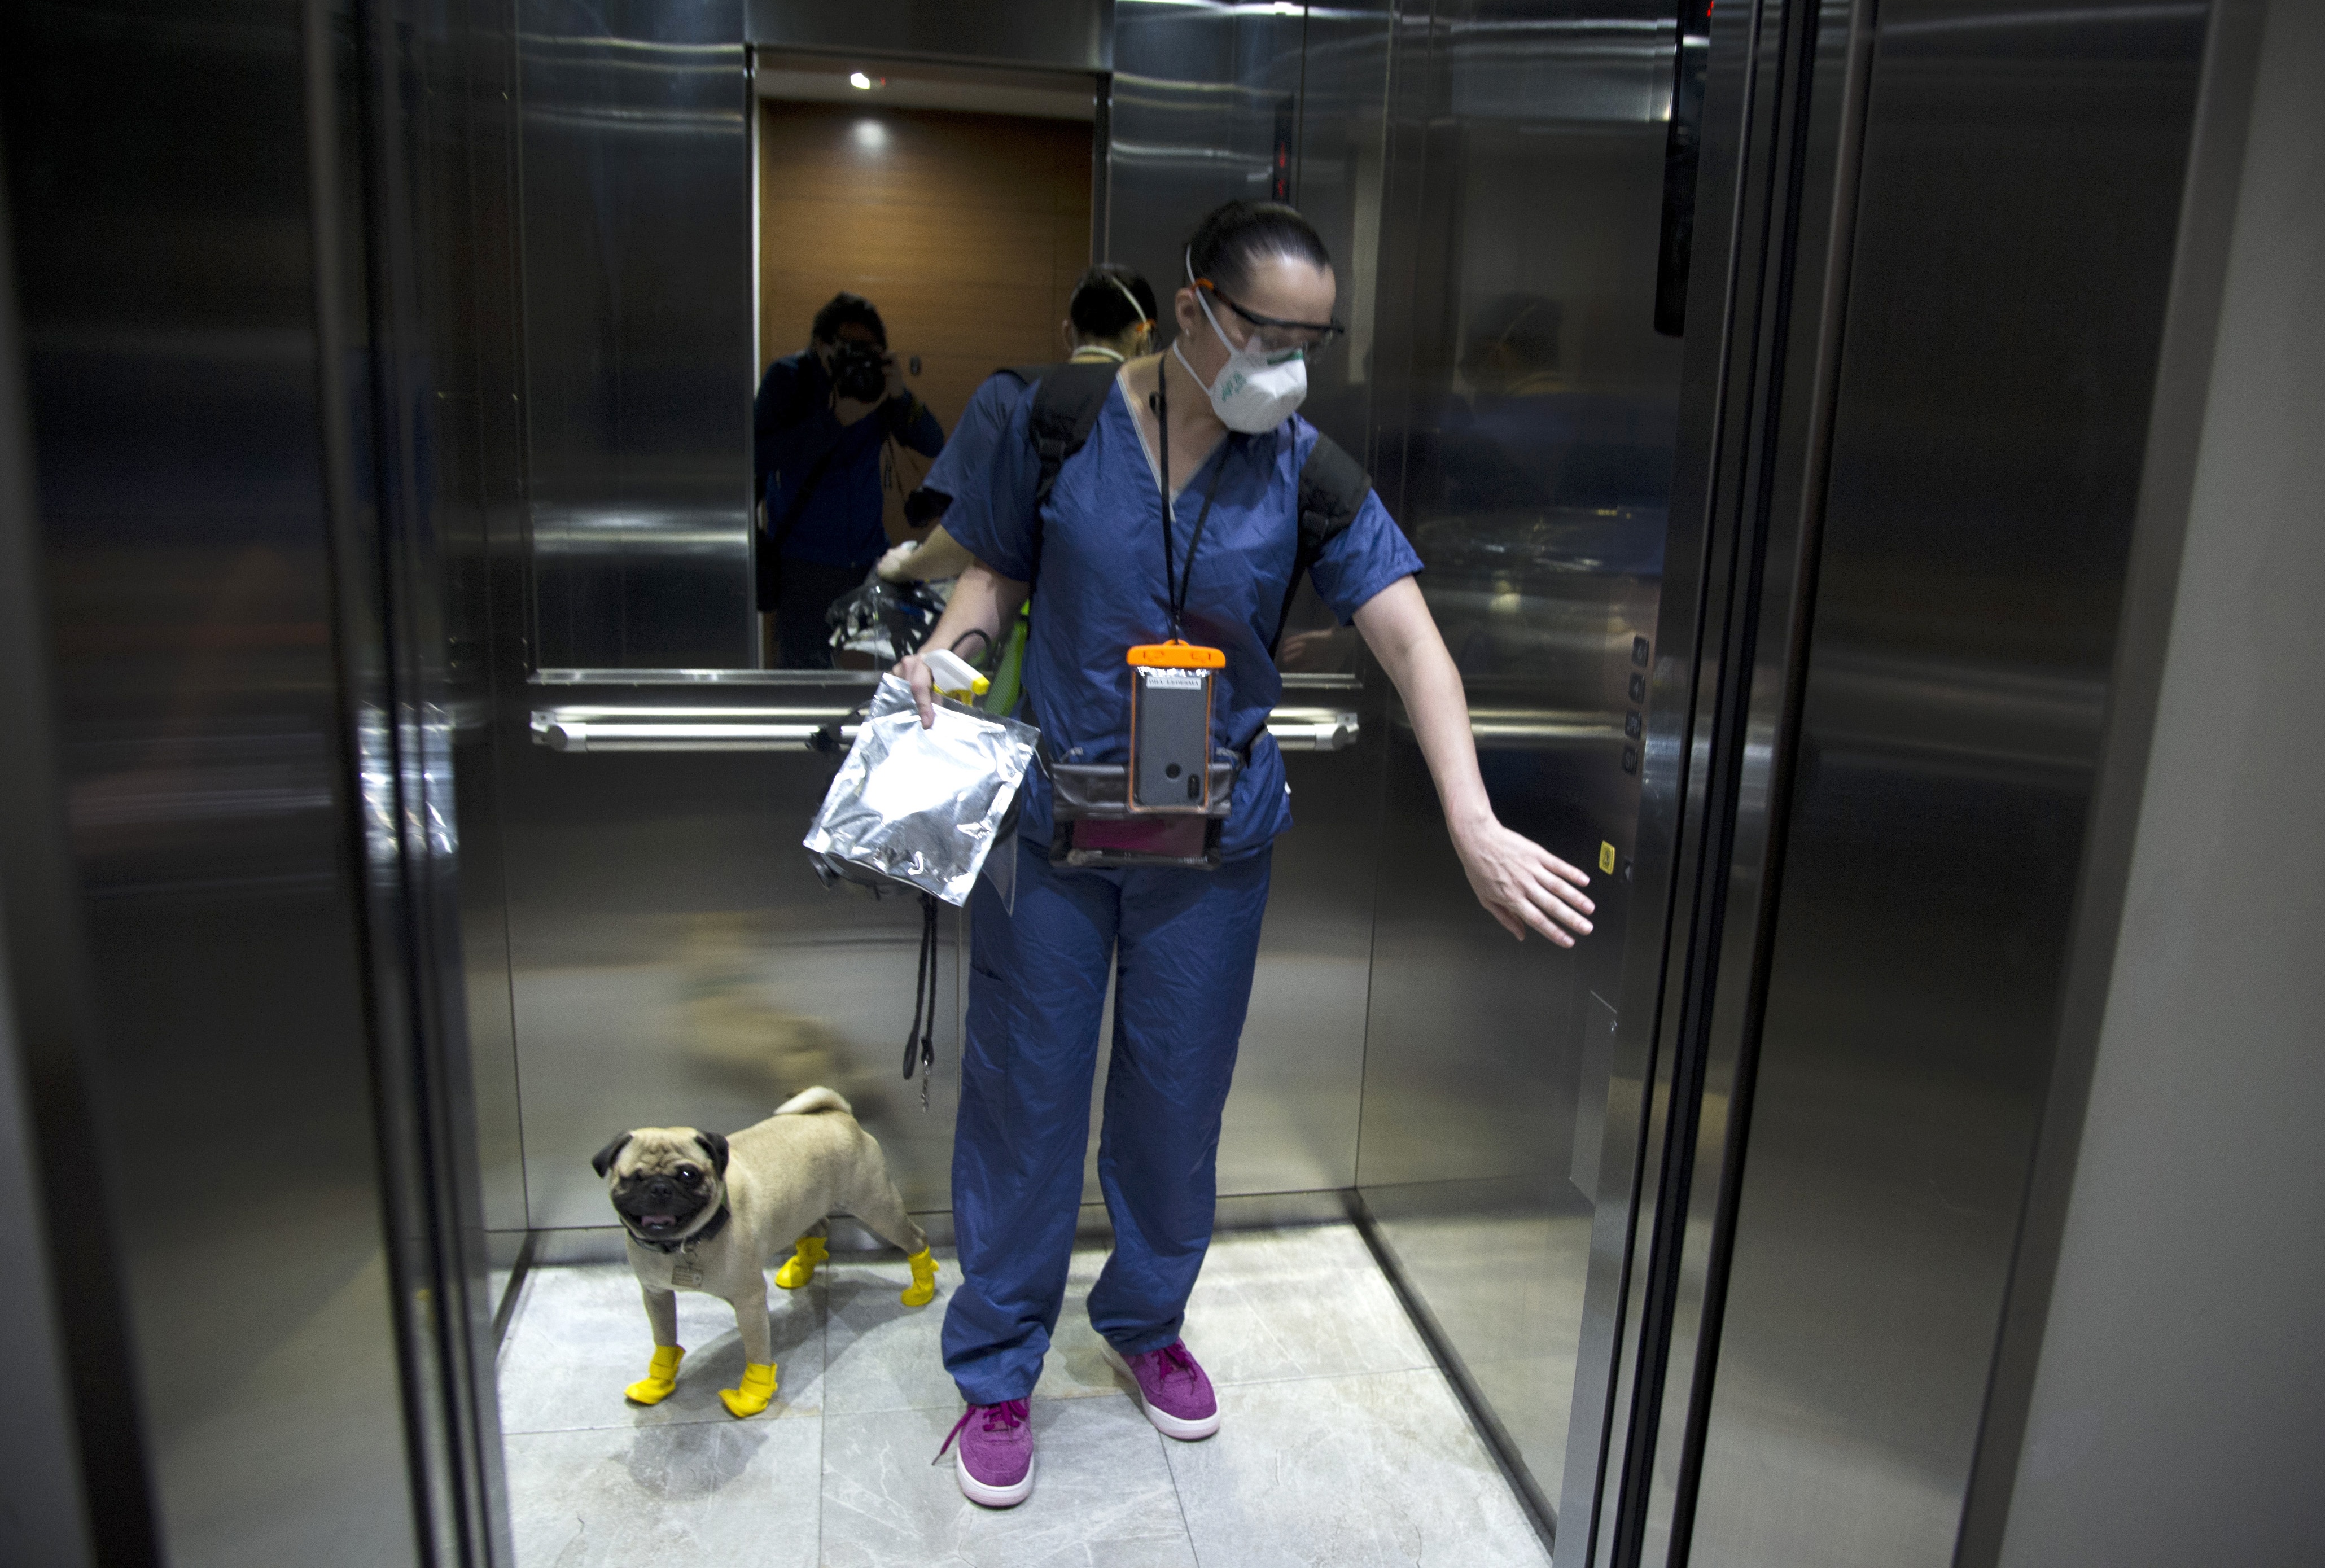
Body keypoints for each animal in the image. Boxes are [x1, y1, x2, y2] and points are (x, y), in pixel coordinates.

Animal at [590, 1088, 934, 1414]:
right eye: (631, 1178)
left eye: (688, 1175)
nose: (659, 1188)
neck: (684, 1244)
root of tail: (838, 1115)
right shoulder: (657, 1295)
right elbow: (664, 1341)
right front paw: (658, 1382)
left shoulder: (750, 1301)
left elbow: (756, 1352)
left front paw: (751, 1396)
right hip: (803, 1207)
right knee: (819, 1229)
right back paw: (800, 1270)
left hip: (878, 1208)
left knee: (916, 1238)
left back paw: (923, 1287)